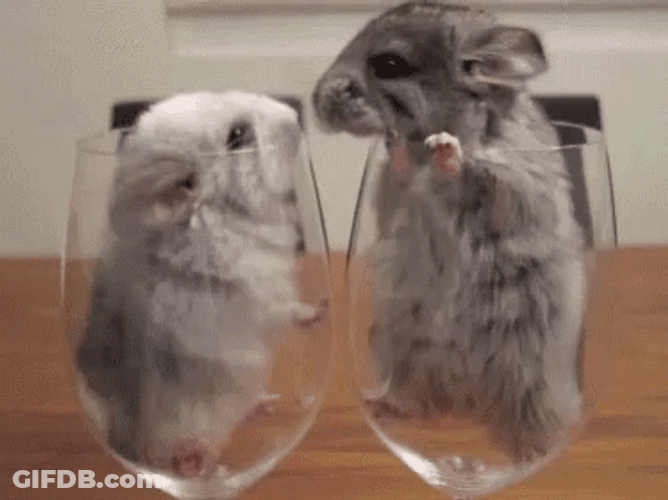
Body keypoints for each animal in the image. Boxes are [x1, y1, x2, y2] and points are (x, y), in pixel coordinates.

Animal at [76, 91, 325, 477]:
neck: (219, 212)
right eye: (237, 135)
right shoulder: (265, 293)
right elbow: (289, 311)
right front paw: (320, 311)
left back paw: (260, 407)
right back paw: (196, 458)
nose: (296, 118)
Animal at [313, 2, 586, 461]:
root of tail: (466, 402)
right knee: (416, 400)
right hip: (396, 345)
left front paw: (447, 151)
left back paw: (529, 449)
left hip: (527, 370)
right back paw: (385, 404)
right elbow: (400, 173)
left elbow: (478, 175)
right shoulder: (391, 195)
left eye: (389, 63)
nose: (317, 103)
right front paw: (402, 147)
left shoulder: (514, 184)